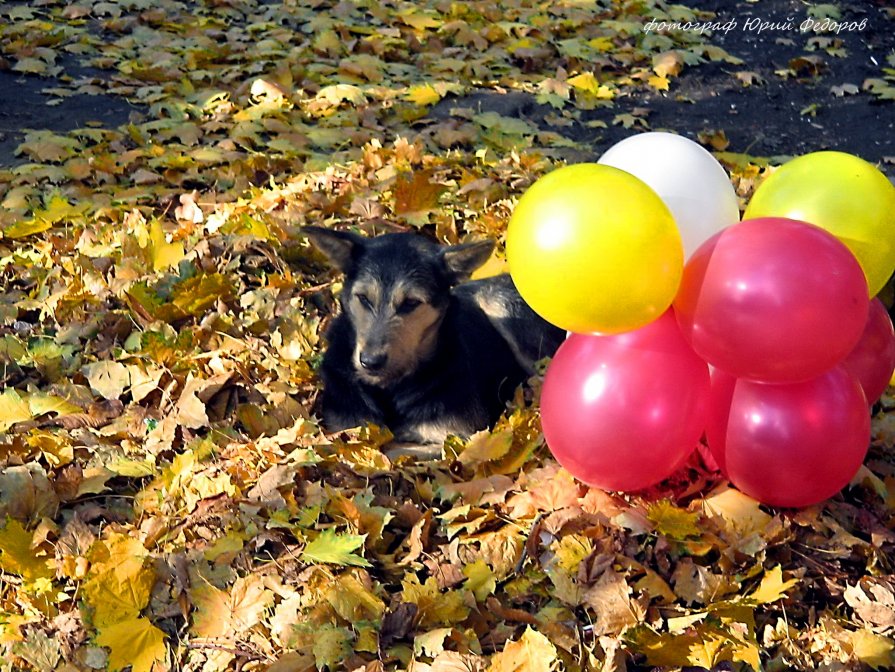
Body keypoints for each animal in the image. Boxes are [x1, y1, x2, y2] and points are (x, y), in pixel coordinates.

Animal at [304, 227, 564, 452]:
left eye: (411, 302)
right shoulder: (342, 426)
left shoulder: (457, 438)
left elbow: (395, 450)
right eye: (364, 298)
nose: (370, 362)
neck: (391, 388)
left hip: (501, 307)